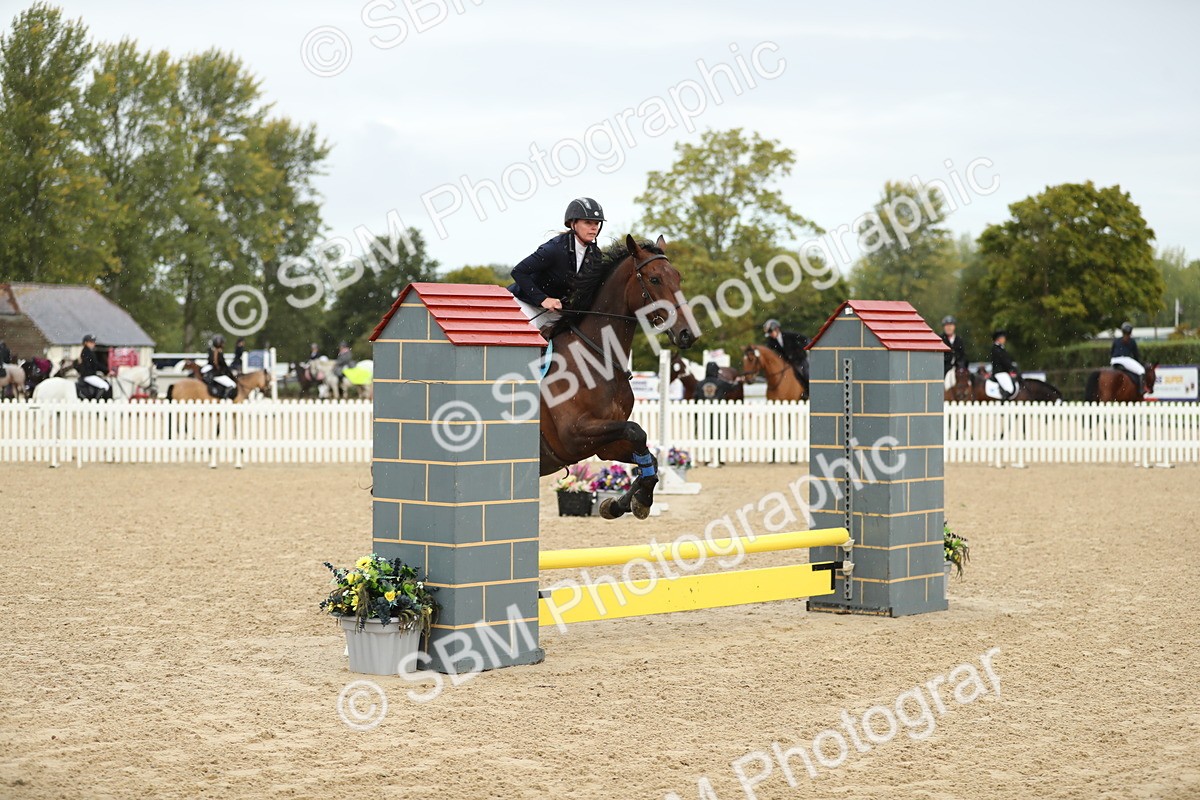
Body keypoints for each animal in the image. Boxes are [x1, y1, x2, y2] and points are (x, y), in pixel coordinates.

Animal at [541, 235, 697, 520]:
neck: (595, 357)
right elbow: (637, 431)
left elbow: (648, 457)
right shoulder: (574, 435)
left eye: (678, 276)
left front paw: (623, 503)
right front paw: (636, 499)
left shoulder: (603, 444)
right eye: (654, 279)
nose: (687, 333)